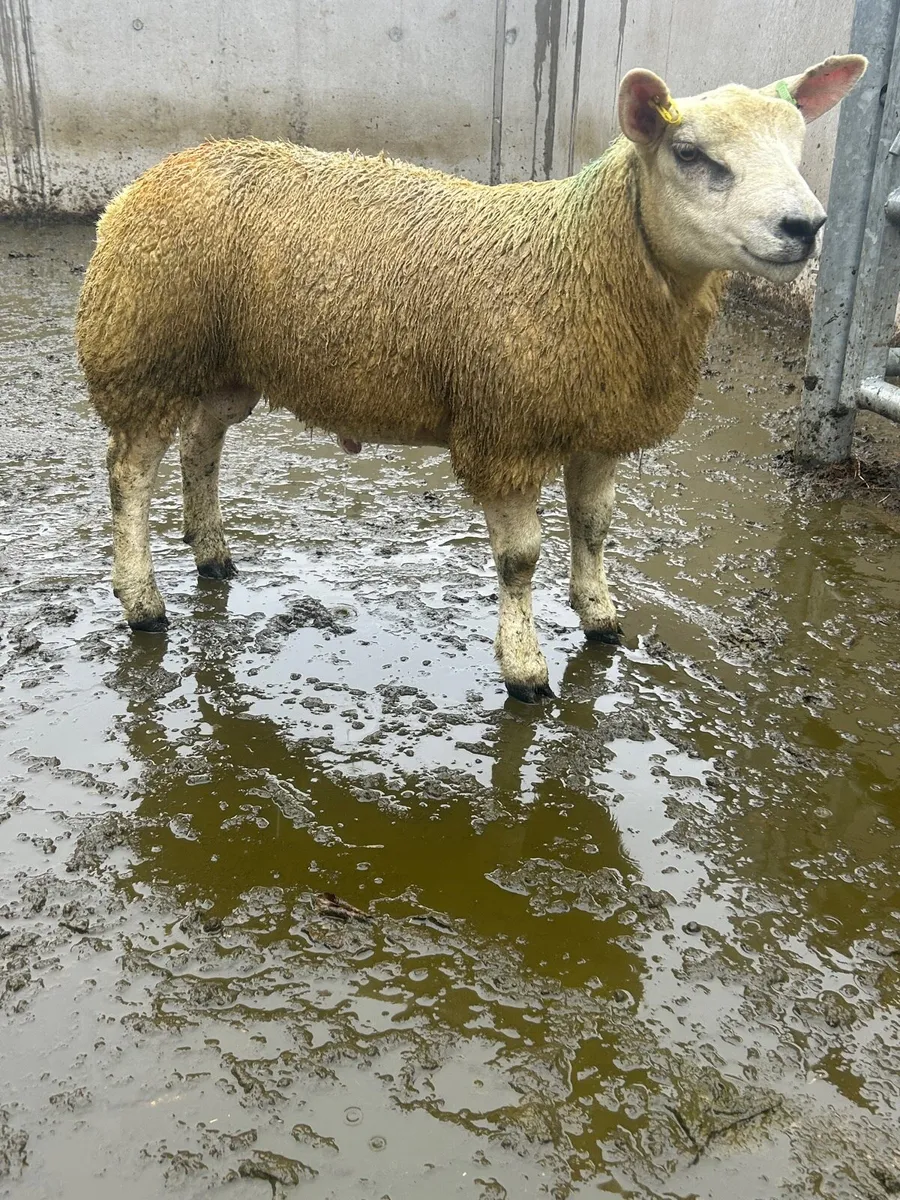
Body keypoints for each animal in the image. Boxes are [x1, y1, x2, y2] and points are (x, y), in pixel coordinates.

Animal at [76, 55, 865, 702]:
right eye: (690, 153)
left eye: (797, 146)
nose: (805, 226)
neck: (582, 257)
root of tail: (157, 173)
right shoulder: (505, 433)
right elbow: (520, 561)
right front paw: (525, 668)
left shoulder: (598, 426)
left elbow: (596, 526)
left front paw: (601, 618)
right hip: (143, 355)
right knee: (129, 473)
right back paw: (141, 600)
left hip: (226, 364)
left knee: (200, 446)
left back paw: (212, 553)